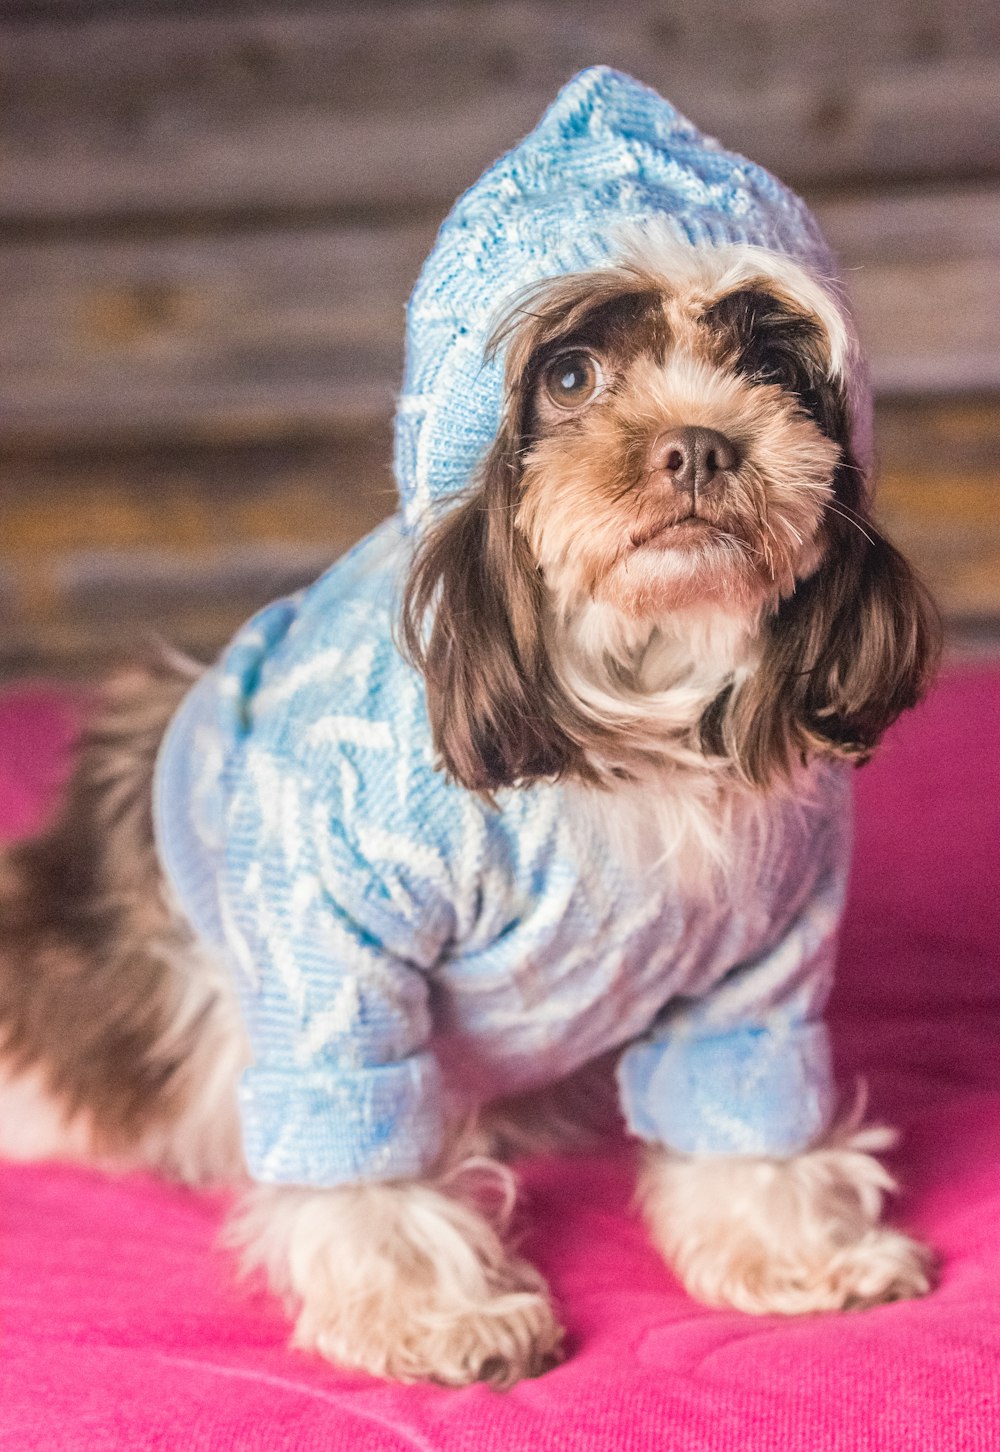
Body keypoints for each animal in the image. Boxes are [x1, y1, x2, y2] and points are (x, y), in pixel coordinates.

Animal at [0, 73, 940, 1388]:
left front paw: (793, 1246)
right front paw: (432, 1308)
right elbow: (361, 1140)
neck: (632, 690)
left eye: (769, 364)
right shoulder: (329, 946)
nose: (702, 445)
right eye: (570, 377)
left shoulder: (764, 957)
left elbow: (740, 1101)